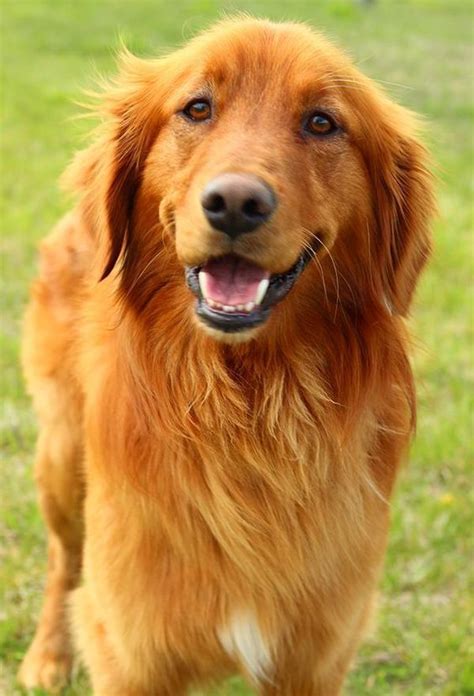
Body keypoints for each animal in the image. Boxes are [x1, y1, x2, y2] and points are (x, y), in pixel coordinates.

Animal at [17, 16, 434, 696]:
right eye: (197, 108)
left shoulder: (313, 658)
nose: (236, 203)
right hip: (60, 452)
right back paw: (46, 657)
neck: (247, 409)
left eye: (322, 122)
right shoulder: (132, 652)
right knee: (63, 559)